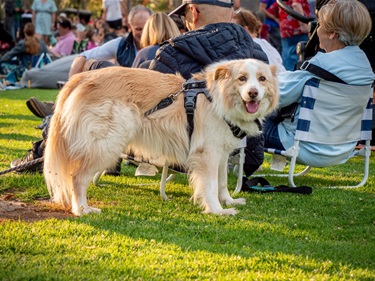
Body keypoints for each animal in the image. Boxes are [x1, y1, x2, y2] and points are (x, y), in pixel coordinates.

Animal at [44, 58, 280, 214]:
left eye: (262, 79)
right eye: (242, 79)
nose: (253, 93)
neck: (218, 100)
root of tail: (82, 77)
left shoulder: (221, 155)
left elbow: (222, 183)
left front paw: (229, 201)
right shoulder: (207, 154)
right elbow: (211, 186)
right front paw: (217, 211)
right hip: (106, 144)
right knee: (77, 177)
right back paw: (82, 209)